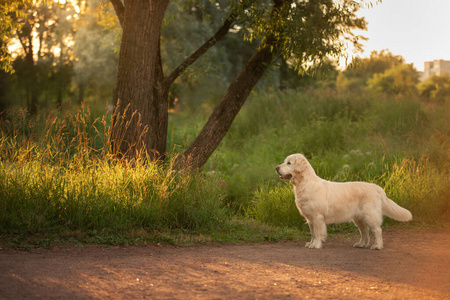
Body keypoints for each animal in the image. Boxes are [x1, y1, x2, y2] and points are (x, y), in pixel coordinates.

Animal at [274, 154, 412, 250]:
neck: (304, 184)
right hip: (358, 219)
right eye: (284, 161)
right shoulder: (310, 219)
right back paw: (361, 244)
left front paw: (316, 245)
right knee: (365, 232)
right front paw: (310, 243)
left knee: (377, 230)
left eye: (289, 163)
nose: (276, 168)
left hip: (370, 215)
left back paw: (377, 246)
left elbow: (318, 233)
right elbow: (313, 233)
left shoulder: (317, 217)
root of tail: (378, 188)